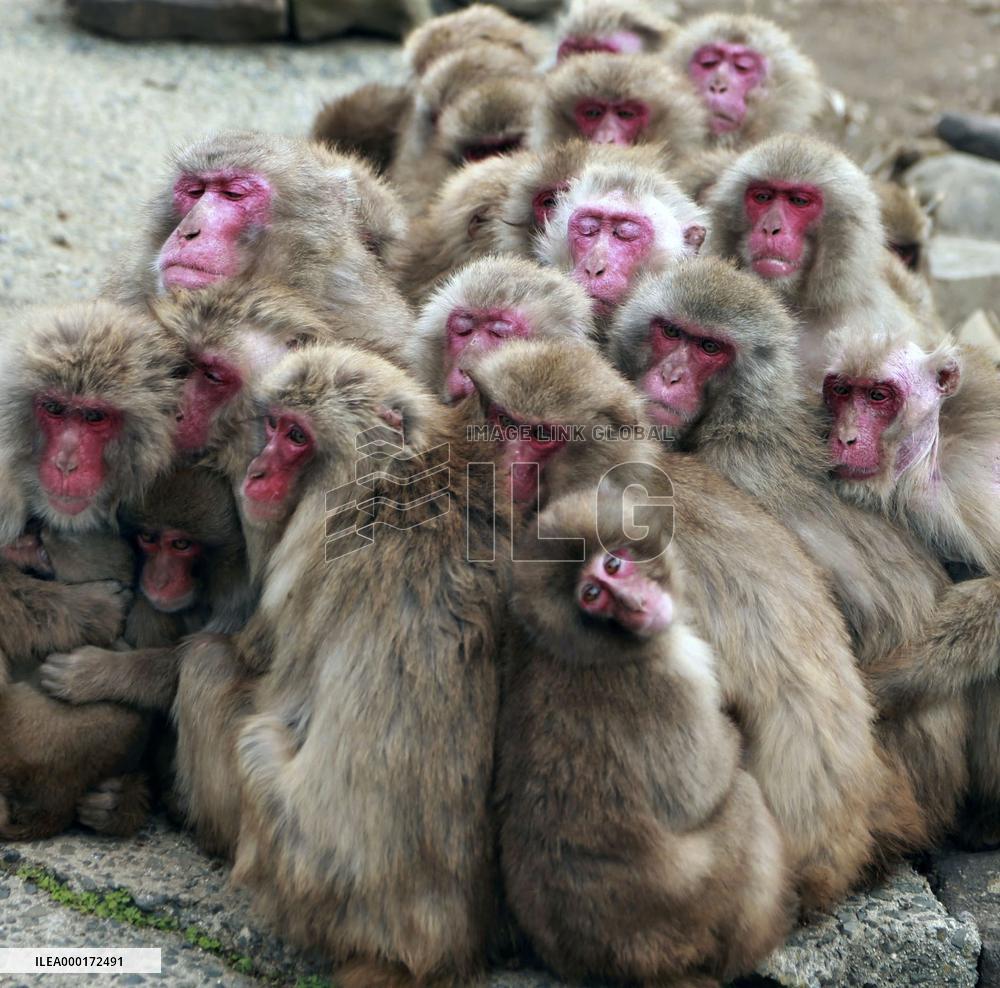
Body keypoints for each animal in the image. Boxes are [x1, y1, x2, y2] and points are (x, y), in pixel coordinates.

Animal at [497, 485, 793, 986]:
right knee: (745, 801)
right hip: (697, 910)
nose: (635, 605)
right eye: (593, 595)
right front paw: (730, 733)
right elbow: (699, 790)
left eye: (613, 566)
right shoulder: (672, 680)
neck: (596, 649)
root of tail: (629, 962)